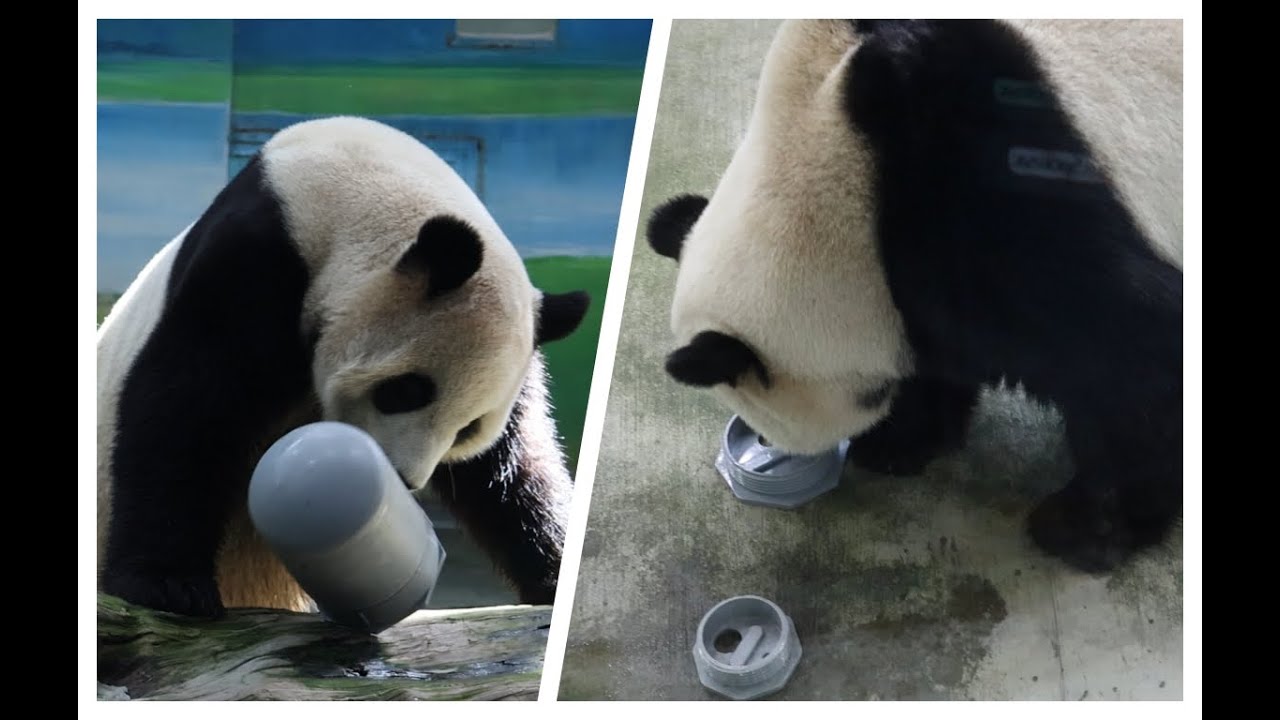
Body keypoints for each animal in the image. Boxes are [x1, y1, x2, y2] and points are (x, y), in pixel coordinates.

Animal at [97, 116, 590, 617]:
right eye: (406, 390)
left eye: (468, 429)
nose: (403, 479)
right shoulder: (255, 260)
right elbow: (187, 402)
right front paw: (166, 584)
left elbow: (510, 471)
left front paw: (555, 575)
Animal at [647, 20, 1182, 573]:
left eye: (767, 427)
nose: (769, 447)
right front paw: (901, 440)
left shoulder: (987, 189)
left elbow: (1129, 359)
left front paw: (1086, 529)